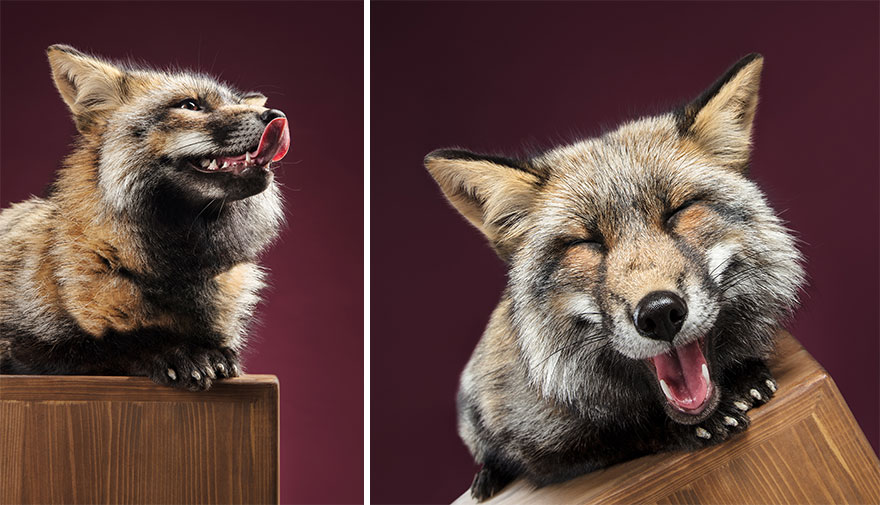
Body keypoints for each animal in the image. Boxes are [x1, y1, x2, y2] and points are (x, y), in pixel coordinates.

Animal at [0, 45, 290, 391]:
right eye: (190, 105)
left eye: (235, 102)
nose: (276, 116)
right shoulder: (21, 347)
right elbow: (114, 343)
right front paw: (177, 353)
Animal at [425, 53, 805, 500]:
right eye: (587, 242)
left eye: (678, 211)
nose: (659, 313)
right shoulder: (541, 445)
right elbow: (616, 435)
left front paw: (746, 377)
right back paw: (486, 477)